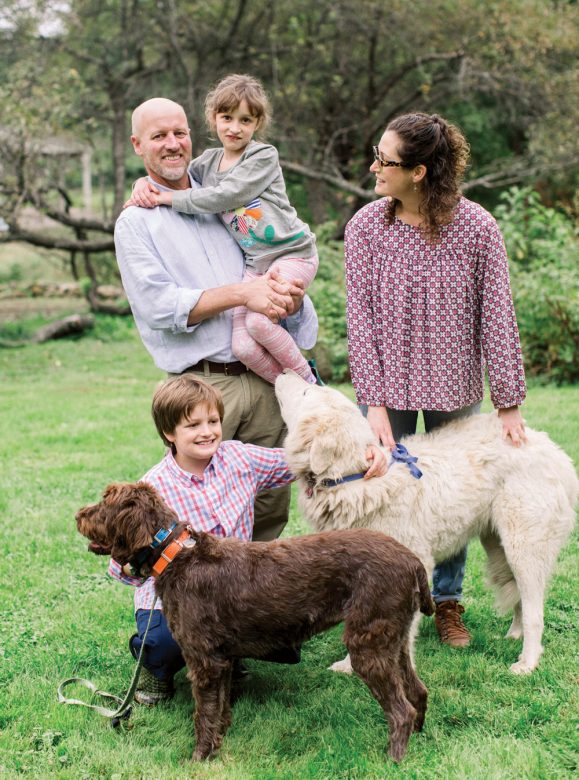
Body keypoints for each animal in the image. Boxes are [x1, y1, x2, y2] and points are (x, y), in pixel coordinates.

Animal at [76, 482, 436, 760]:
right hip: (393, 639)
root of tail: (411, 560)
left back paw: (394, 759)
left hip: (367, 643)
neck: (175, 554)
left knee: (401, 709)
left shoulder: (204, 660)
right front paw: (218, 743)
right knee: (417, 691)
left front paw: (199, 757)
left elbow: (203, 713)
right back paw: (419, 738)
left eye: (105, 502)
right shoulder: (221, 659)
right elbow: (219, 708)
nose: (79, 515)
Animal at [276, 370, 576, 672]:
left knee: (534, 611)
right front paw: (350, 666)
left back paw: (527, 662)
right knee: (520, 601)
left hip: (523, 549)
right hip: (499, 547)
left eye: (307, 393)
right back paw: (514, 634)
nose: (285, 371)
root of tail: (552, 449)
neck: (356, 477)